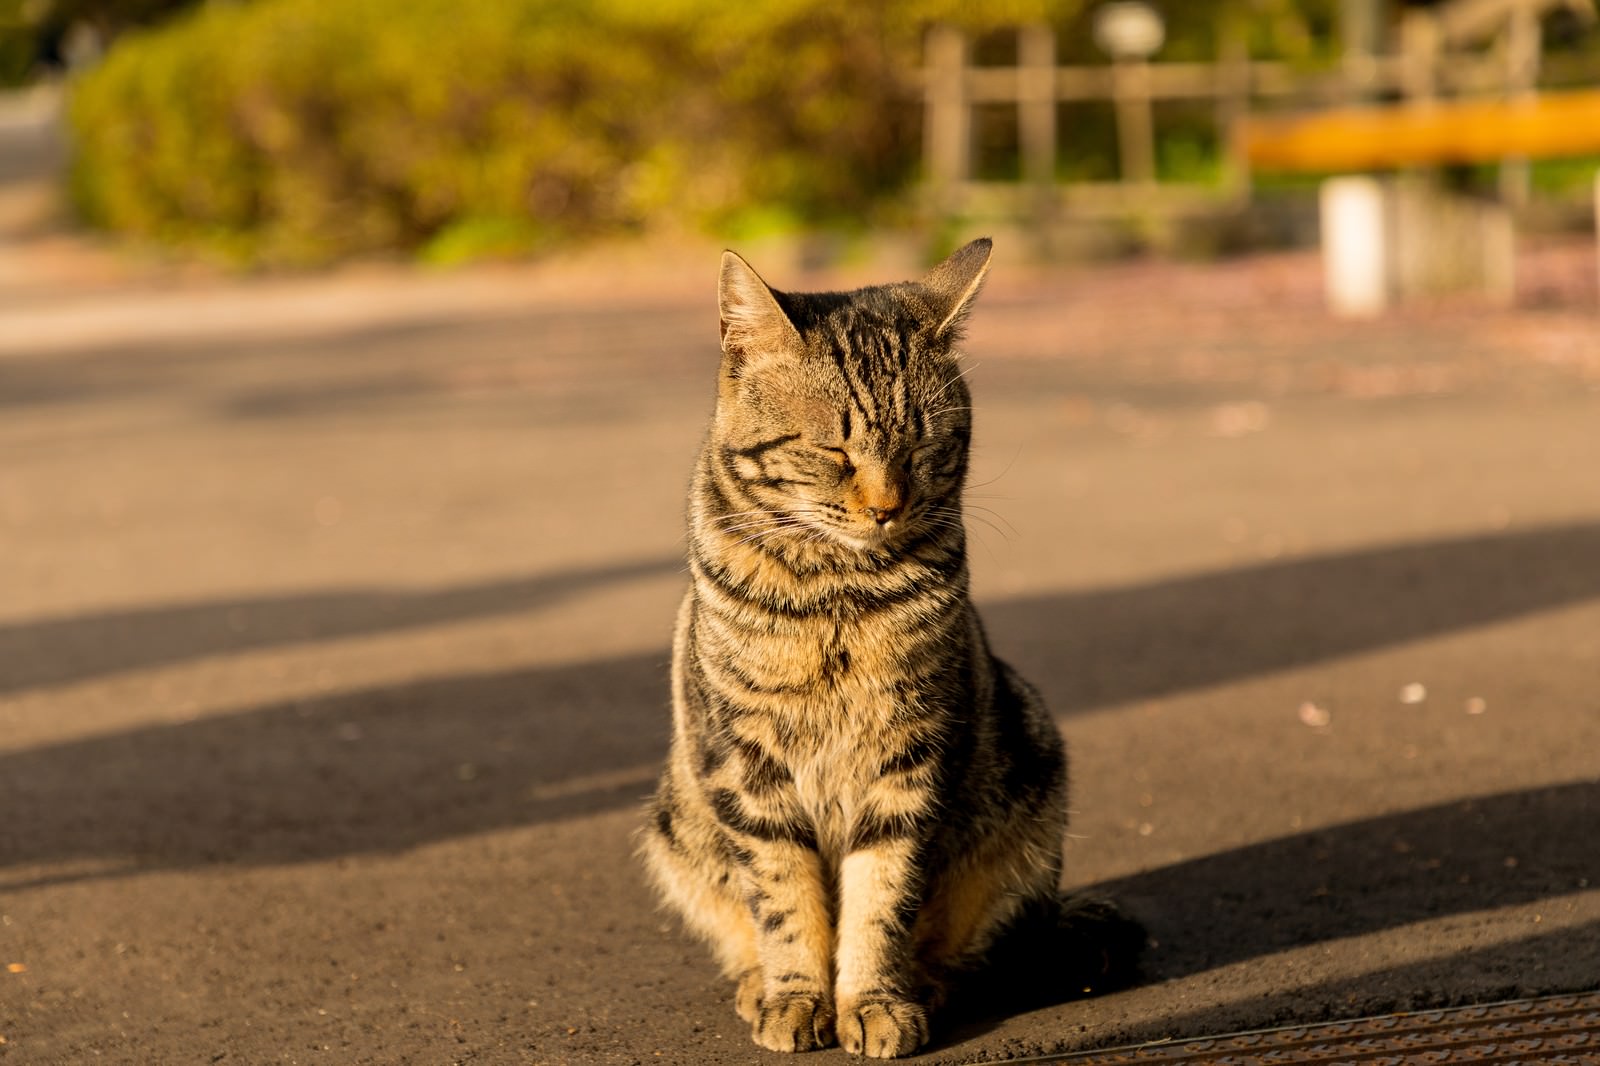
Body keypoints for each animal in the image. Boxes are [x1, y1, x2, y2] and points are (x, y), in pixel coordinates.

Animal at [636, 240, 1139, 1056]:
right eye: (832, 449)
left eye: (923, 446)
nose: (886, 507)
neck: (838, 594)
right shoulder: (748, 767)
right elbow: (782, 900)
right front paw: (796, 996)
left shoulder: (909, 760)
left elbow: (882, 899)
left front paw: (873, 1000)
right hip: (676, 819)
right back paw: (756, 987)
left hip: (1029, 773)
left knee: (965, 951)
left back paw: (921, 985)